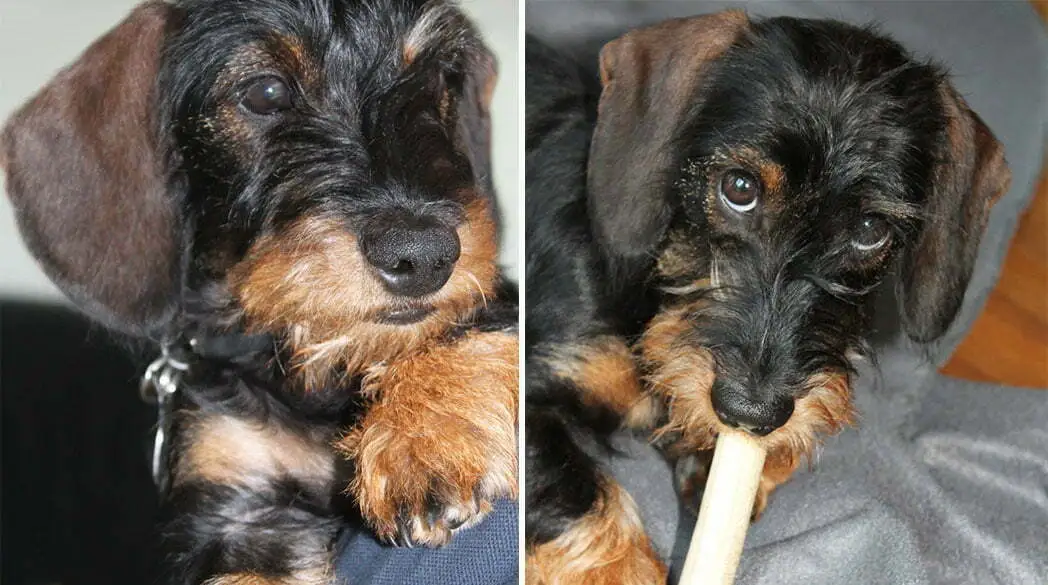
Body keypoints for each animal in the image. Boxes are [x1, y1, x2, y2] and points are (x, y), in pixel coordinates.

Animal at [2, 1, 518, 583]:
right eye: (265, 92)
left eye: (433, 80)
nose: (424, 256)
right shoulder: (241, 506)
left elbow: (470, 318)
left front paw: (429, 434)